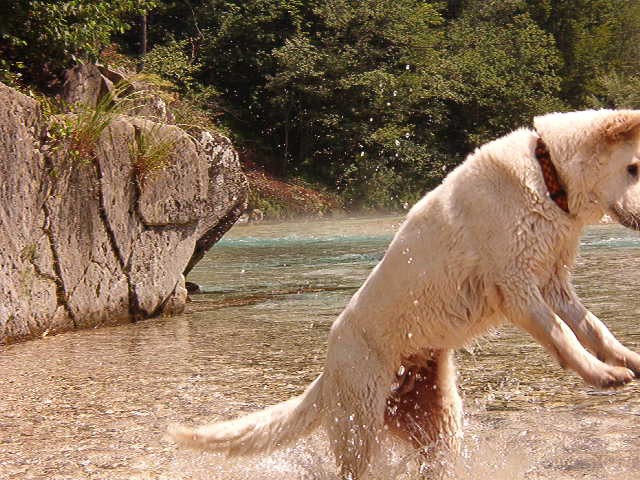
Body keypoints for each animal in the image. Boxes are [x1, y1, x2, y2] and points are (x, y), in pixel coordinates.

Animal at [169, 110, 640, 478]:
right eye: (635, 168)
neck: (548, 175)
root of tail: (327, 370)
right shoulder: (519, 289)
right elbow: (564, 336)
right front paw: (602, 374)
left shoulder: (553, 284)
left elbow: (593, 327)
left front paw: (627, 359)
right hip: (360, 431)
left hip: (438, 424)